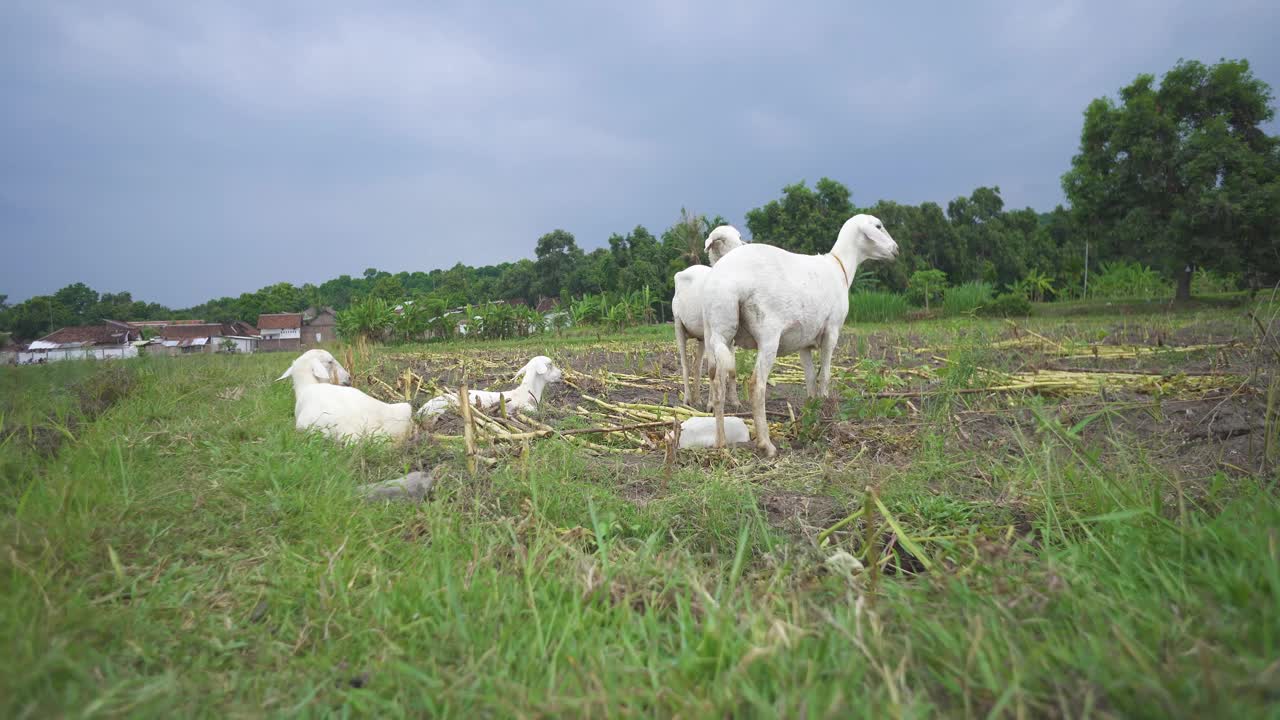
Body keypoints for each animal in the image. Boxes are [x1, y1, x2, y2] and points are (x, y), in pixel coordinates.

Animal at [675, 221, 747, 407]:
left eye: (739, 236)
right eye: (721, 240)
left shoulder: (731, 336)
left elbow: (730, 368)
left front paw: (734, 401)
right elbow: (713, 368)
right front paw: (712, 404)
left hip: (701, 337)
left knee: (697, 366)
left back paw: (697, 399)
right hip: (679, 325)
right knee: (685, 365)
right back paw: (687, 399)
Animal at [701, 210, 901, 453]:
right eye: (879, 226)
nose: (896, 249)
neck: (840, 267)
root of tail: (725, 282)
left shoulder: (804, 342)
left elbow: (810, 379)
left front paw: (811, 413)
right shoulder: (831, 332)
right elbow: (825, 376)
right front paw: (824, 412)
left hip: (716, 332)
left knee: (716, 384)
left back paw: (720, 443)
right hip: (768, 334)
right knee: (756, 384)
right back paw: (766, 444)